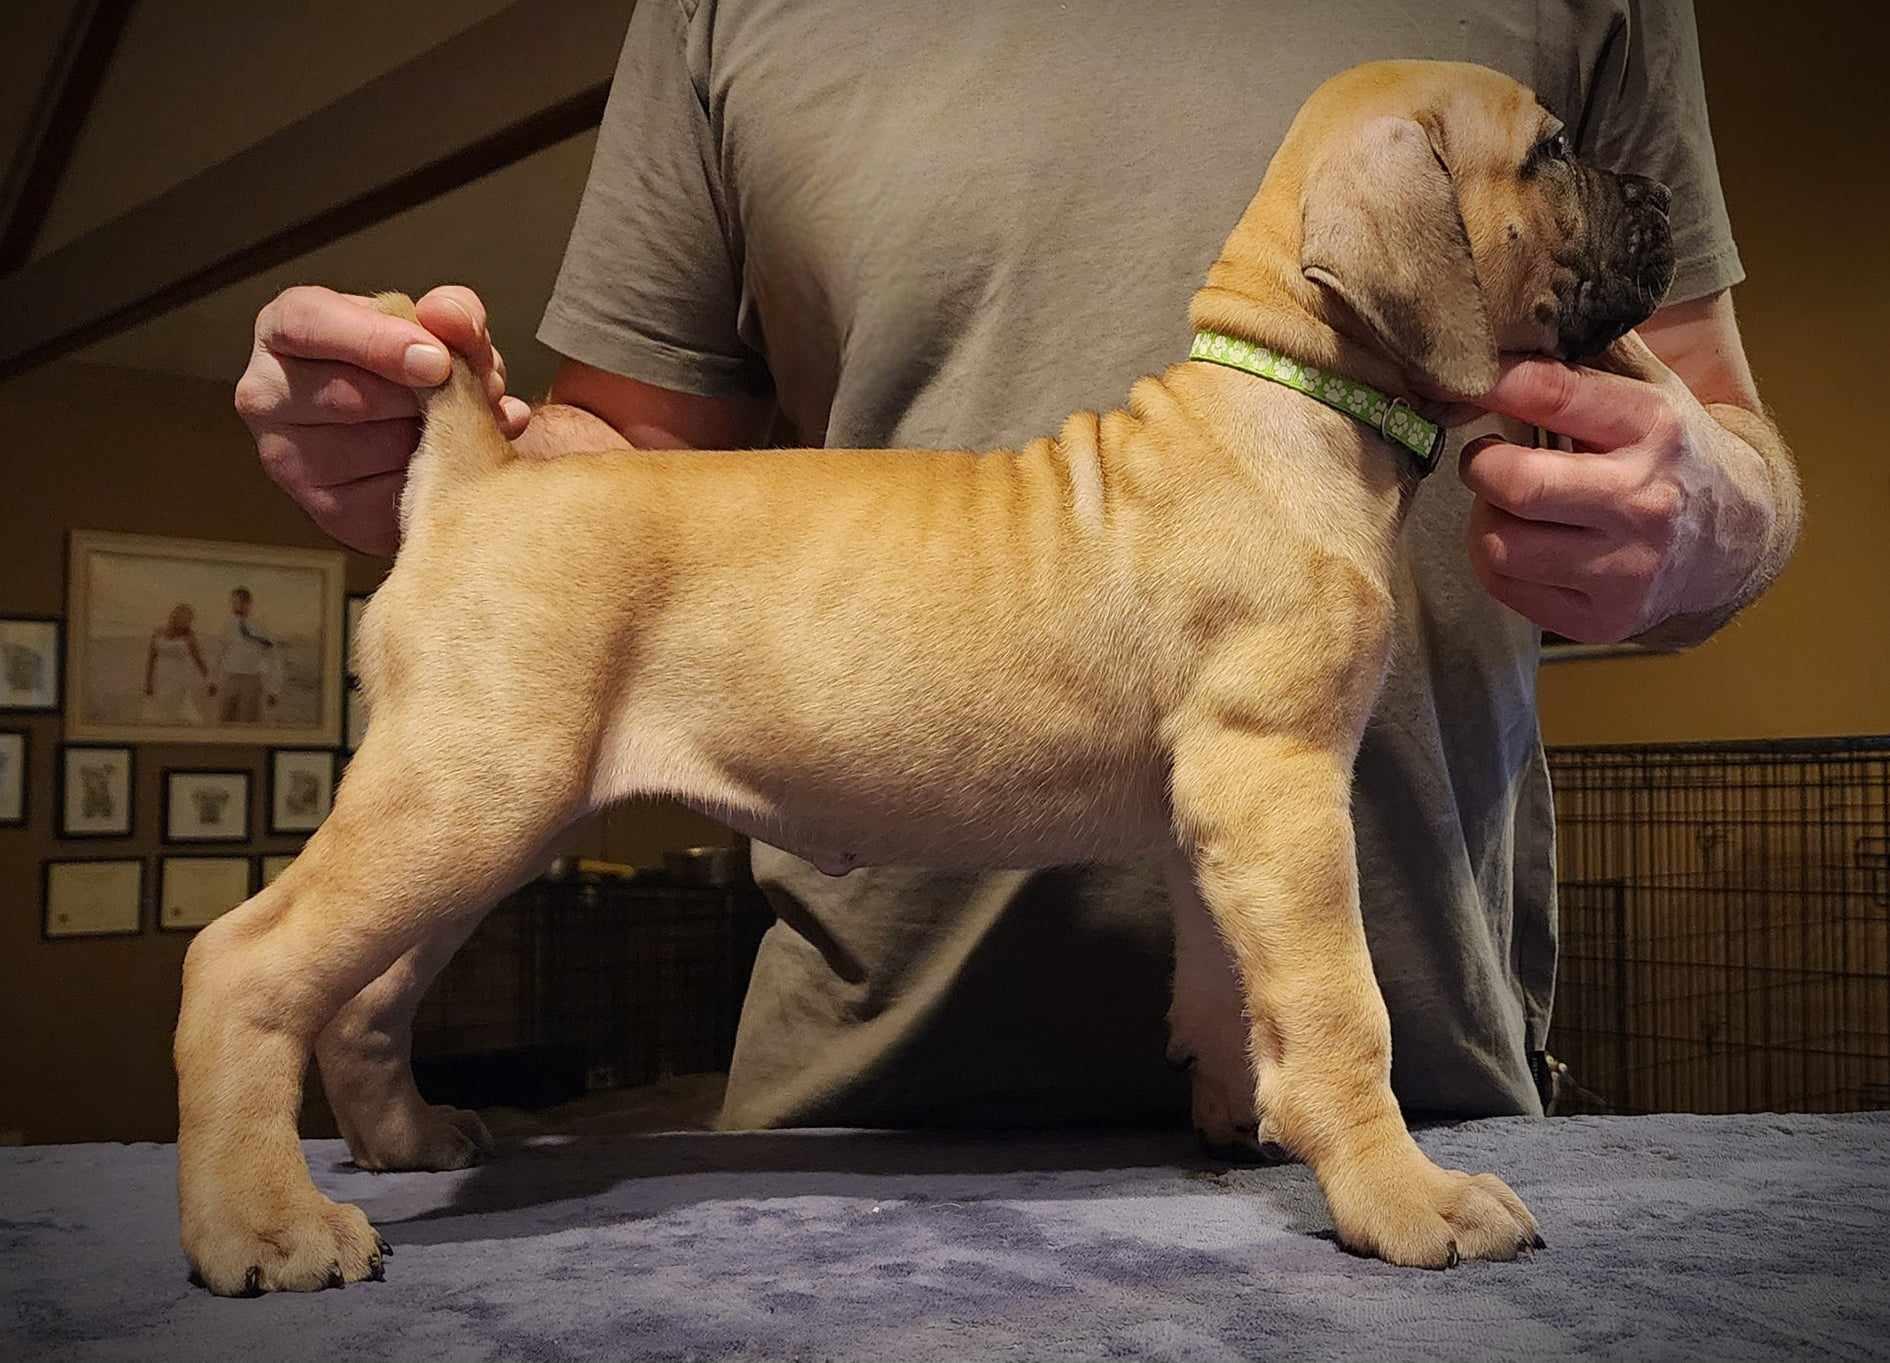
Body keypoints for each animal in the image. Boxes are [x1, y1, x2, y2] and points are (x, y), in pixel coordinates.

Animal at [174, 59, 1674, 1294]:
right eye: (1550, 150)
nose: (1660, 196)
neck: (1288, 398)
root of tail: (474, 473)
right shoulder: (1279, 782)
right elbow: (1342, 1005)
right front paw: (1400, 1191)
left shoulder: (1222, 814)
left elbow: (1232, 986)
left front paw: (1241, 1116)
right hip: (466, 793)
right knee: (245, 961)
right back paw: (265, 1224)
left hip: (483, 809)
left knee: (363, 993)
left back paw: (408, 1137)